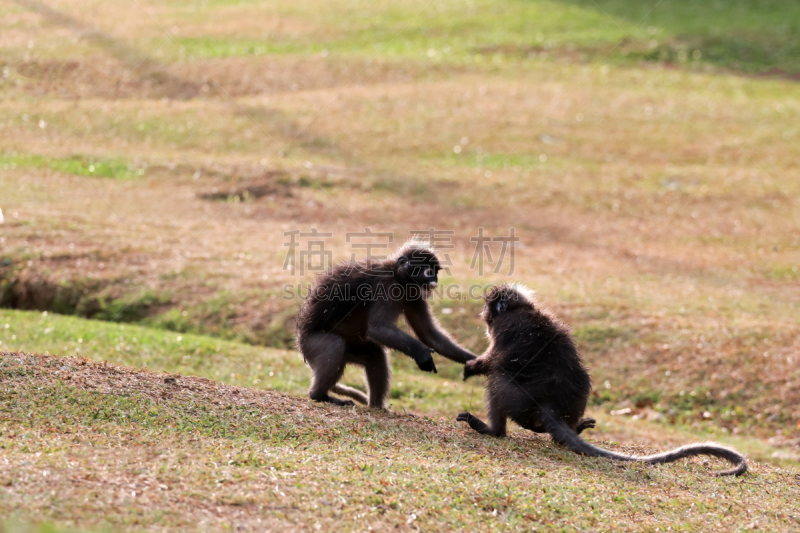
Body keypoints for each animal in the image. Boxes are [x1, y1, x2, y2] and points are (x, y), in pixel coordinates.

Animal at [298, 241, 476, 408]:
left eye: (436, 272)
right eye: (429, 272)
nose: (435, 280)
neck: (398, 277)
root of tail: (300, 341)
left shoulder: (414, 295)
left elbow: (429, 334)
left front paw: (474, 361)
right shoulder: (387, 286)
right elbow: (378, 328)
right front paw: (422, 353)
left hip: (353, 350)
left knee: (375, 356)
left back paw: (376, 406)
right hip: (312, 345)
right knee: (335, 345)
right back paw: (319, 395)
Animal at [456, 284, 752, 476]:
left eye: (489, 307)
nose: (483, 314)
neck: (522, 309)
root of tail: (548, 405)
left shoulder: (504, 329)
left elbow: (492, 362)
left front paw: (470, 368)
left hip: (517, 400)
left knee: (498, 380)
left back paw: (492, 430)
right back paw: (574, 430)